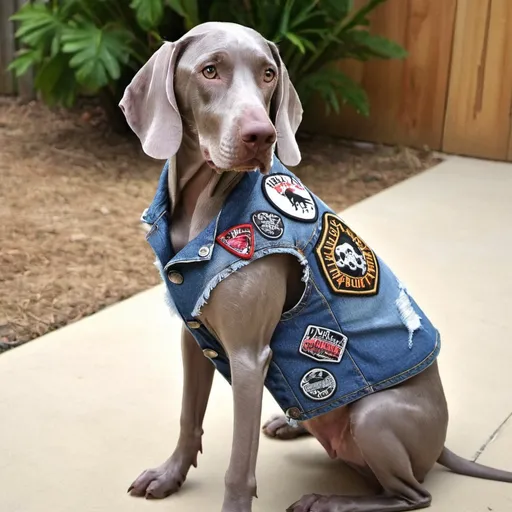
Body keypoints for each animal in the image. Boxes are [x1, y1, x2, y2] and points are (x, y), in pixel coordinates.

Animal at [120, 21, 512, 512]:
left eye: (269, 74)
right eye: (210, 70)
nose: (263, 135)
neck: (204, 203)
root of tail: (441, 445)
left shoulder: (249, 356)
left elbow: (238, 469)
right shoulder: (196, 335)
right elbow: (188, 417)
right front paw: (170, 474)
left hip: (374, 415)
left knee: (412, 495)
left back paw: (330, 499)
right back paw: (290, 424)